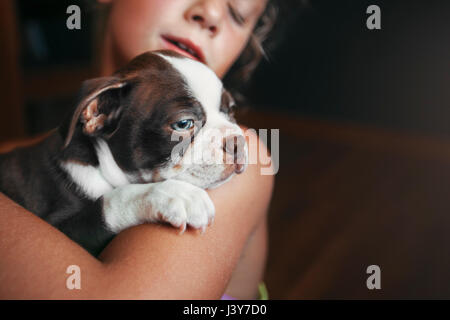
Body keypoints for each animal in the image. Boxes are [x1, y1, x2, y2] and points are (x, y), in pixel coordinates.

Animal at [0, 49, 248, 255]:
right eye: (183, 124)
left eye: (231, 110)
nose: (238, 142)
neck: (99, 165)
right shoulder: (60, 228)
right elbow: (109, 202)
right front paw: (173, 194)